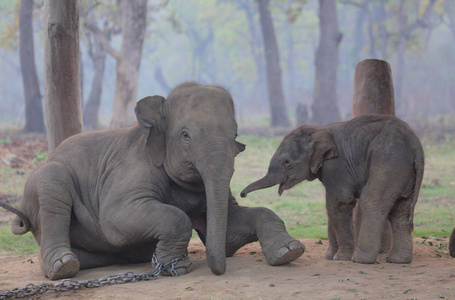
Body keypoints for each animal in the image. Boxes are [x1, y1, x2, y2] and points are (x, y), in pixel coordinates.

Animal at [1, 81, 306, 278]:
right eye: (185, 135)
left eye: (235, 135)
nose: (219, 270)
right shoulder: (132, 168)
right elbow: (115, 218)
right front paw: (178, 268)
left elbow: (236, 224)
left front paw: (289, 252)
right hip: (43, 181)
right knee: (53, 188)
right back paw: (62, 266)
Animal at [242, 115, 424, 264]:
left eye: (286, 162)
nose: (242, 194)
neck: (319, 130)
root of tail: (416, 145)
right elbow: (330, 207)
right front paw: (330, 257)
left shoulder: (337, 165)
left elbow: (338, 203)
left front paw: (341, 258)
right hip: (404, 171)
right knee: (400, 210)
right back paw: (398, 260)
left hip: (389, 161)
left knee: (372, 201)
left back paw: (361, 260)